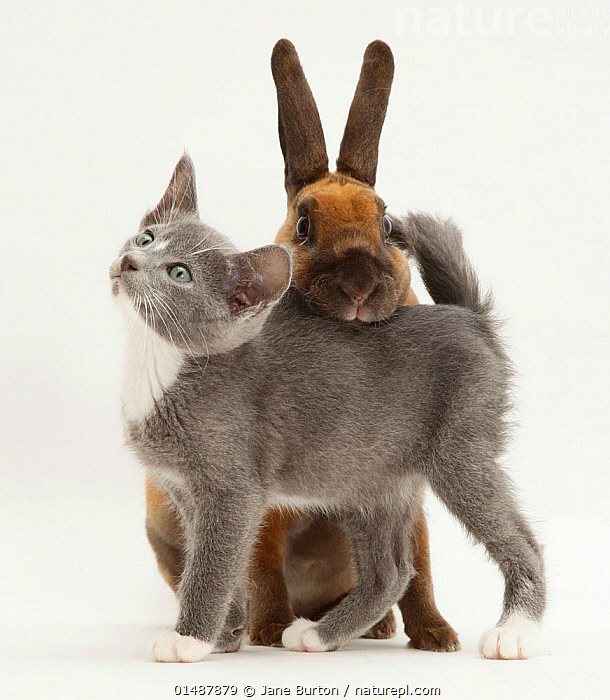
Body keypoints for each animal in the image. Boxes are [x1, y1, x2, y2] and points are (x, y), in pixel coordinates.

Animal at [111, 154, 544, 660]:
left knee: (521, 539)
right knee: (391, 572)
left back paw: (516, 630)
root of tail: (469, 318)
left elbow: (212, 566)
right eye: (146, 238)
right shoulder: (184, 492)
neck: (160, 364)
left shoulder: (232, 489)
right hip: (371, 478)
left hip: (460, 452)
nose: (129, 260)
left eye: (179, 273)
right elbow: (225, 566)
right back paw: (320, 633)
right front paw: (226, 634)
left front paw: (188, 639)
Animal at [142, 38, 456, 652]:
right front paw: (270, 630)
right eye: (305, 225)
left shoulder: (406, 493)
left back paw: (376, 626)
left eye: (387, 225)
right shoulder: (262, 504)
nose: (359, 283)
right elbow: (260, 565)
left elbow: (422, 566)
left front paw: (436, 636)